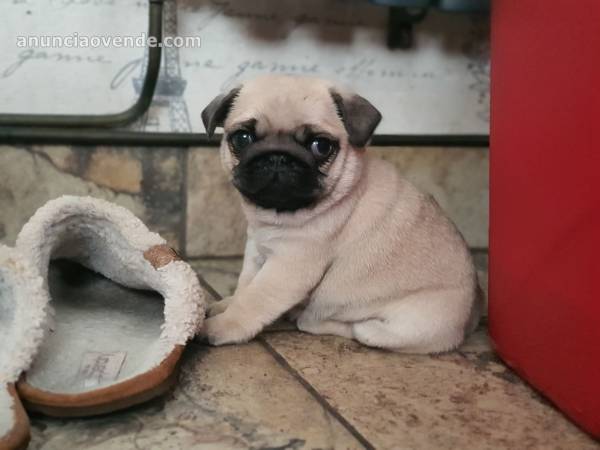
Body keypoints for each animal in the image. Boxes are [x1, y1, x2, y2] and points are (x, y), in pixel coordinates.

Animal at [199, 75, 480, 354]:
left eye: (321, 146)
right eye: (242, 138)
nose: (278, 156)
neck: (277, 216)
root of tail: (471, 316)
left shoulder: (289, 266)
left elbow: (254, 299)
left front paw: (220, 325)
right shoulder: (257, 251)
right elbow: (245, 285)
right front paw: (226, 304)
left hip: (396, 328)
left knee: (349, 328)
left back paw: (305, 317)